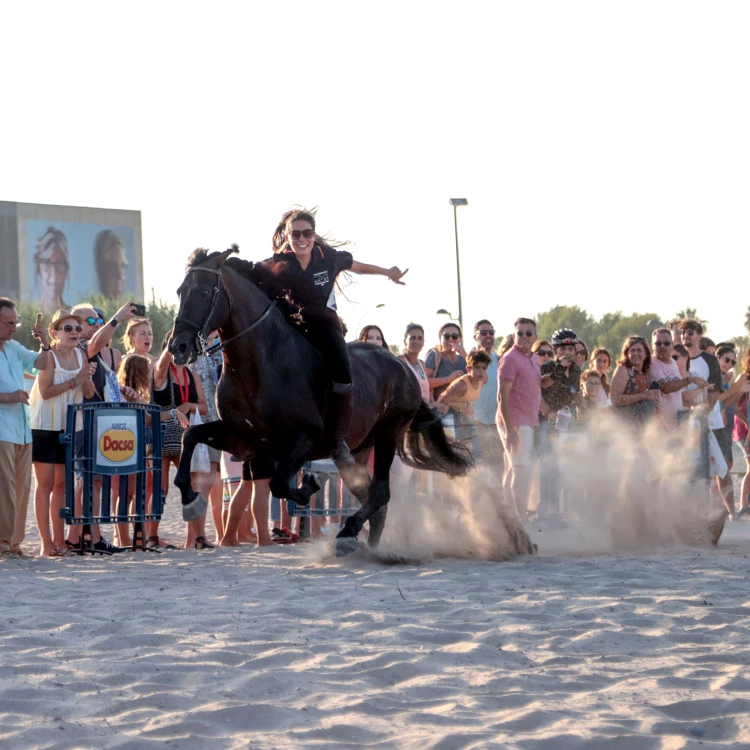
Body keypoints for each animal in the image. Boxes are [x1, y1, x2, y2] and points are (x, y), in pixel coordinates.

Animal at [171, 247, 476, 552]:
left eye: (203, 291)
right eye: (179, 291)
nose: (178, 346)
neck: (261, 363)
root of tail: (404, 368)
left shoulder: (303, 441)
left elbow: (280, 484)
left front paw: (309, 486)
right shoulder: (243, 439)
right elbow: (191, 436)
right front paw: (190, 499)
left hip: (388, 434)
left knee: (380, 493)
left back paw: (350, 532)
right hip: (358, 451)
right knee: (373, 498)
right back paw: (366, 544)